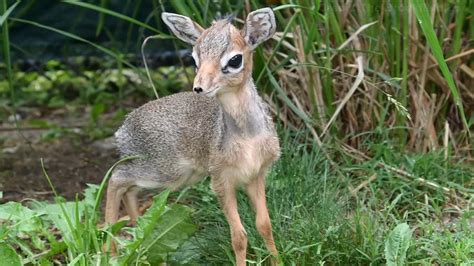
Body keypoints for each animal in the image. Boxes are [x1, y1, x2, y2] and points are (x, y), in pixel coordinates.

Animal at [105, 7, 280, 264]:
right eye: (194, 59)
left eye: (235, 59)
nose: (199, 87)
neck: (247, 137)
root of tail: (123, 128)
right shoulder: (221, 181)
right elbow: (239, 236)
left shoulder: (256, 176)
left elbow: (264, 225)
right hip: (163, 171)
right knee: (115, 179)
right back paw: (109, 249)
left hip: (173, 176)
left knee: (129, 189)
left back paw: (138, 239)